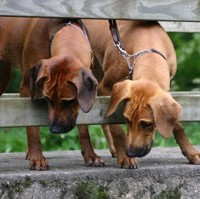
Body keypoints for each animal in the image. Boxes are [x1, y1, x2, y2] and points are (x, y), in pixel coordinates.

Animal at [0, 17, 97, 169]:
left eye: (69, 101)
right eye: (47, 99)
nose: (55, 130)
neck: (64, 31)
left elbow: (84, 125)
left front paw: (90, 154)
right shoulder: (27, 88)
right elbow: (32, 127)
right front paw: (37, 158)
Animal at [80, 19, 200, 168]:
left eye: (146, 124)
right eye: (126, 120)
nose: (131, 152)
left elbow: (176, 124)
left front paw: (191, 152)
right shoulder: (105, 87)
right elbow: (117, 129)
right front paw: (125, 157)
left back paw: (112, 149)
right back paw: (90, 154)